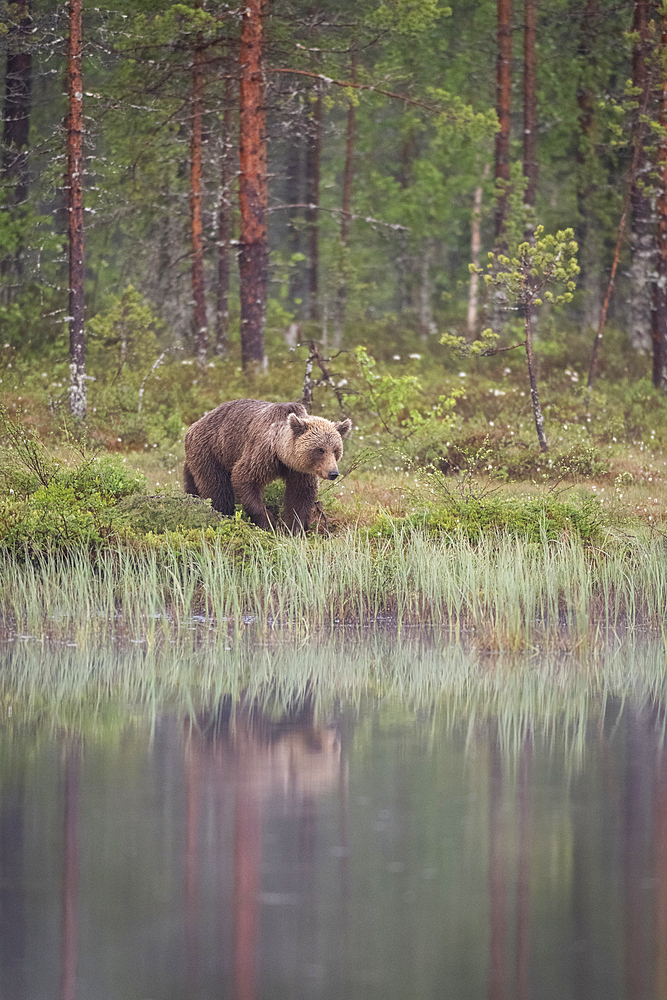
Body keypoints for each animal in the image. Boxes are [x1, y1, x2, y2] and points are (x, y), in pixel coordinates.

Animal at [180, 398, 352, 532]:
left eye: (336, 450)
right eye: (320, 449)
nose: (333, 473)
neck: (282, 455)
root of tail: (194, 425)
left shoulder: (299, 469)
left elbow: (300, 495)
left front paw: (295, 528)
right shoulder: (262, 454)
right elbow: (245, 478)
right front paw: (269, 522)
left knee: (192, 483)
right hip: (211, 451)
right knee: (217, 488)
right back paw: (222, 515)